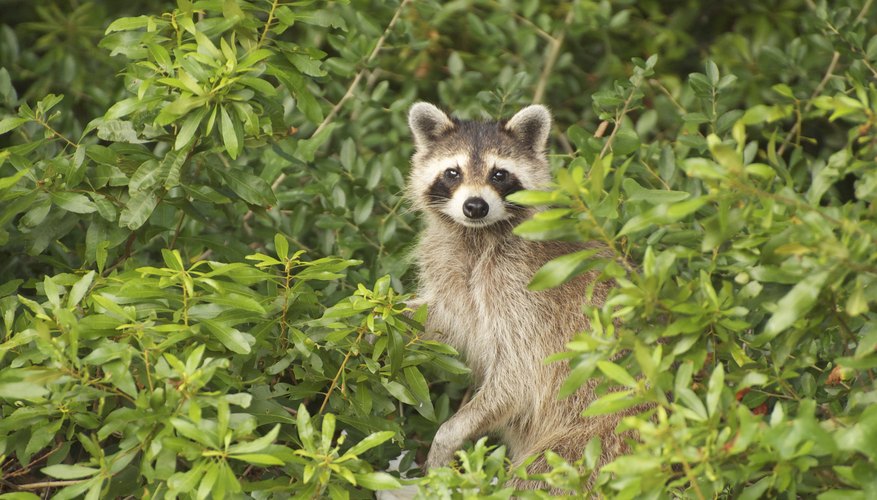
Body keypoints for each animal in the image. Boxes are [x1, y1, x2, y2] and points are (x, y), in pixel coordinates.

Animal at [408, 101, 632, 488]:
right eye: (452, 172)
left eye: (499, 175)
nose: (475, 206)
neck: (478, 235)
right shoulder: (450, 268)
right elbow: (443, 317)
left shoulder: (526, 295)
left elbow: (517, 378)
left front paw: (449, 434)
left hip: (597, 439)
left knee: (543, 477)